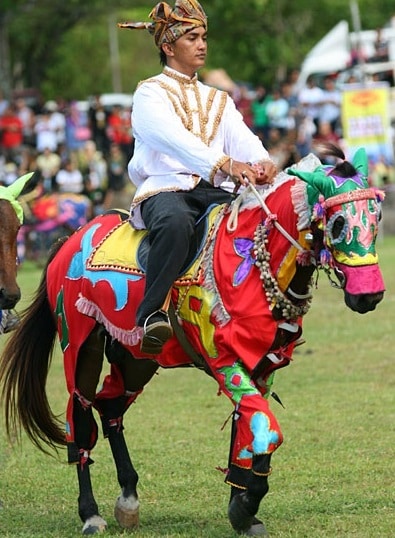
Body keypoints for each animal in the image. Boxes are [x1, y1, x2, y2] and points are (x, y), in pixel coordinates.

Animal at [0, 144, 386, 532]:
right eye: (337, 223)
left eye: (378, 217)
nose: (369, 295)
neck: (252, 263)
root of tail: (72, 239)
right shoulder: (224, 360)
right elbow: (267, 431)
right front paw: (246, 506)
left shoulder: (263, 367)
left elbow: (246, 436)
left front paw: (242, 508)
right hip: (80, 345)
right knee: (80, 420)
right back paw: (91, 513)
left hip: (137, 355)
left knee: (111, 406)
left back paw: (128, 498)